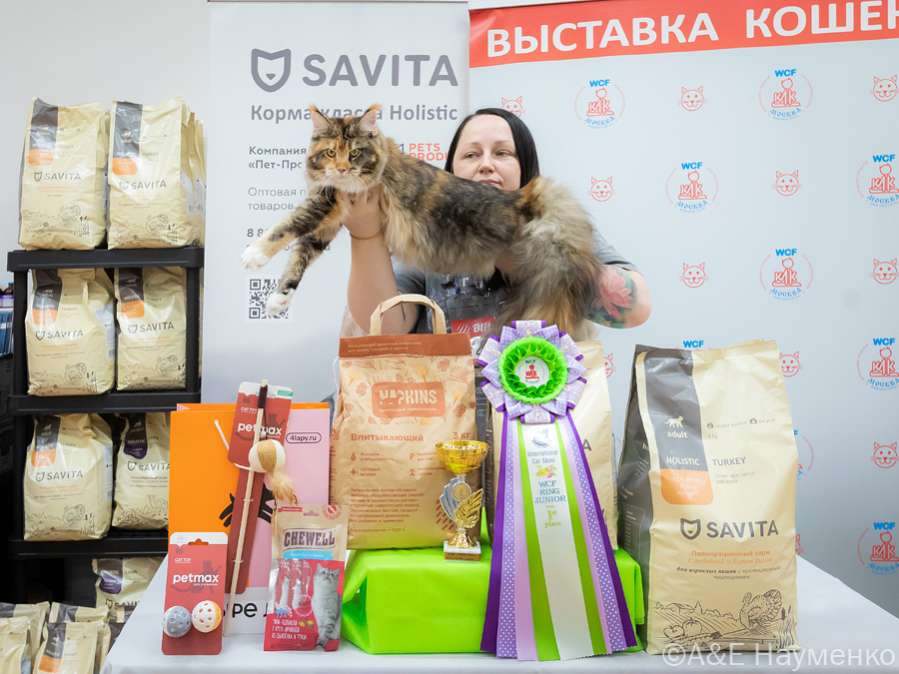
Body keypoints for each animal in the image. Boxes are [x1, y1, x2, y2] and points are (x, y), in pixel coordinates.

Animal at [241, 105, 602, 335]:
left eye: (354, 153)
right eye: (331, 152)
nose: (342, 169)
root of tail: (525, 197)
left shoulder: (325, 202)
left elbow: (287, 227)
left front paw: (254, 254)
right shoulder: (330, 219)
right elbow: (300, 256)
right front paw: (278, 299)